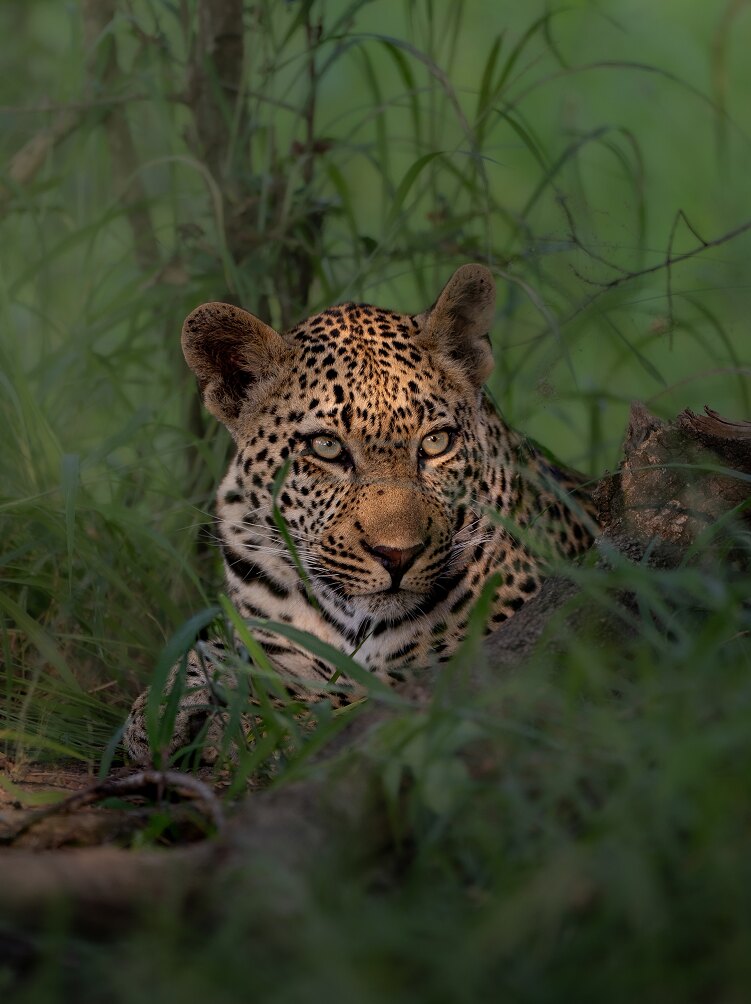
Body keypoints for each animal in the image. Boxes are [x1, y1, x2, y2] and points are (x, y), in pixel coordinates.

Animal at [123, 264, 595, 764]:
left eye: (436, 443)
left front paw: (241, 718)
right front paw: (165, 702)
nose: (397, 555)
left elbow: (339, 701)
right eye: (327, 448)